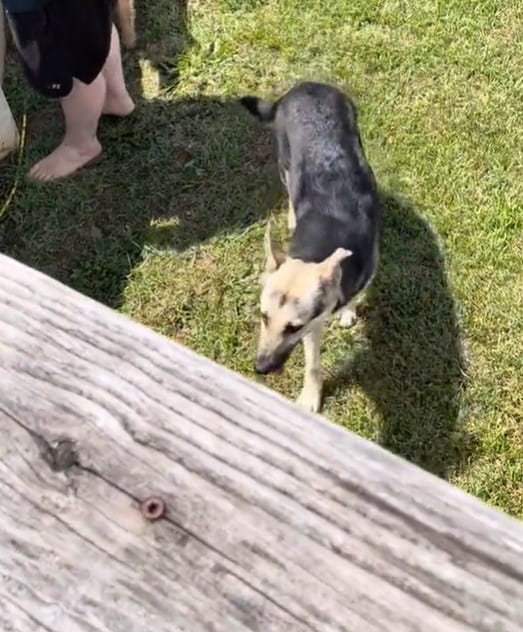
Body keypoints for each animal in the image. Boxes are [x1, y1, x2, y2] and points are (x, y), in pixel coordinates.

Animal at [241, 80, 380, 414]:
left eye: (293, 327)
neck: (322, 240)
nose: (260, 369)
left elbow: (357, 293)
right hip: (285, 161)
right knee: (290, 189)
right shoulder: (314, 327)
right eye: (263, 317)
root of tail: (307, 86)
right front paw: (311, 394)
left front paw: (349, 309)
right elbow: (313, 363)